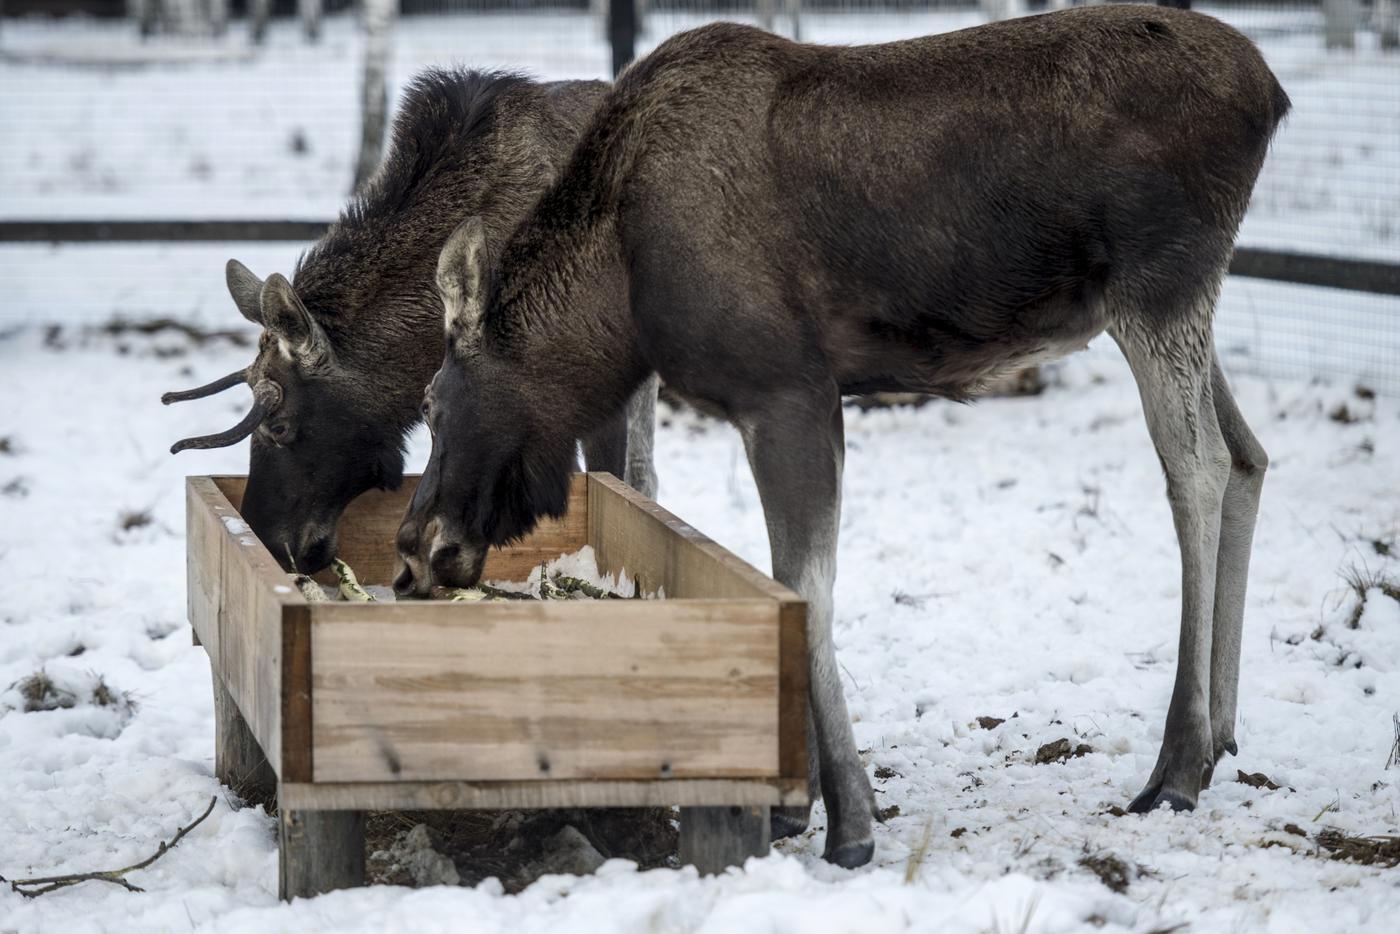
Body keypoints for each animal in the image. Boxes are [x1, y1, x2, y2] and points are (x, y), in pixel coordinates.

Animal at [392, 7, 1288, 868]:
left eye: (432, 401)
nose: (412, 548)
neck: (621, 296)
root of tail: (1272, 94)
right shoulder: (806, 401)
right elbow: (785, 579)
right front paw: (800, 799)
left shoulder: (786, 389)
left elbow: (804, 582)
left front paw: (847, 820)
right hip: (1177, 302)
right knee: (1250, 453)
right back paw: (1223, 739)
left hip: (1160, 285)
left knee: (1198, 467)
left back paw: (1177, 766)